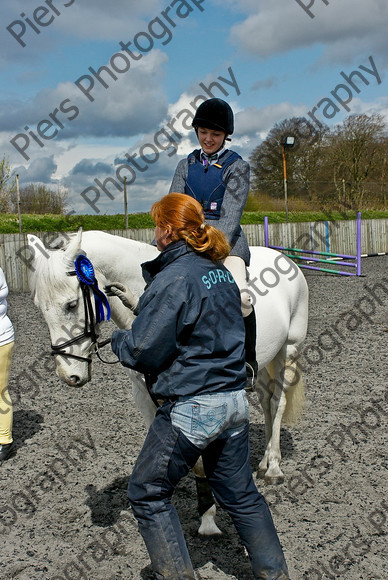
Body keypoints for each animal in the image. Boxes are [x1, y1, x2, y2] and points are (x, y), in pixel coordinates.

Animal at [27, 230, 310, 532]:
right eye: (40, 308)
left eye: (71, 304)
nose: (69, 375)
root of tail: (284, 259)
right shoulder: (144, 394)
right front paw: (198, 509)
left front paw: (208, 517)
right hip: (266, 361)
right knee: (267, 402)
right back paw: (264, 461)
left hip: (289, 350)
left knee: (278, 404)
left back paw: (274, 468)